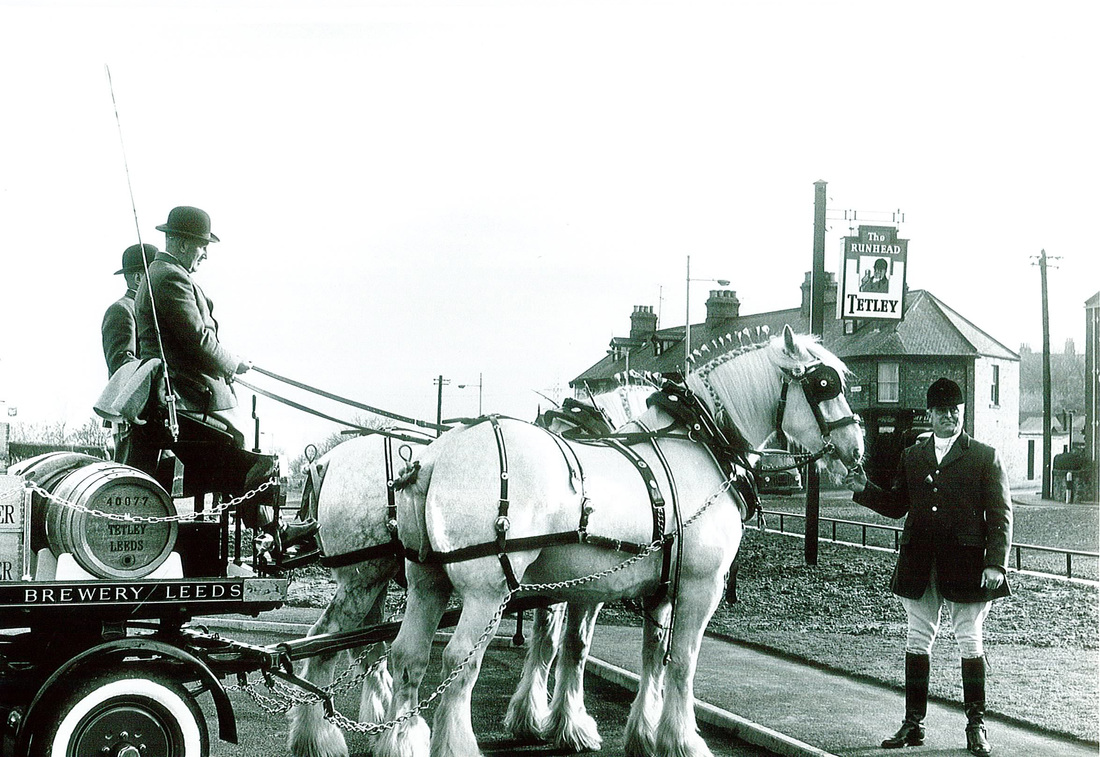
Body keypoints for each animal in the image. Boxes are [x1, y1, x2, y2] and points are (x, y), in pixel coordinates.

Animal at [378, 327, 866, 757]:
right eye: (824, 384)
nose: (857, 448)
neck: (698, 444)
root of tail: (436, 455)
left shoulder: (654, 589)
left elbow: (647, 656)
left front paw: (644, 734)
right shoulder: (700, 587)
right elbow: (682, 662)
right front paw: (682, 740)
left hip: (427, 582)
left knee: (407, 658)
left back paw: (400, 742)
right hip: (487, 591)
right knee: (458, 663)